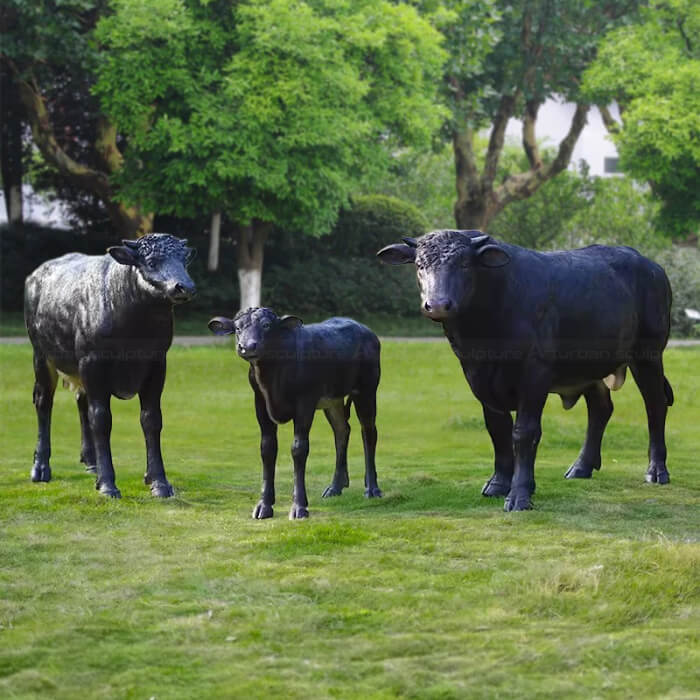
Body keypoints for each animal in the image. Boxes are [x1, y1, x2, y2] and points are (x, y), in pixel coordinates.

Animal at [24, 233, 196, 498]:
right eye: (151, 262)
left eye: (184, 260)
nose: (184, 287)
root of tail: (35, 276)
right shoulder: (93, 363)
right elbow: (101, 419)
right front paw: (107, 484)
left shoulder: (157, 365)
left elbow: (151, 419)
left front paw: (158, 481)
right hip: (42, 358)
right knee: (44, 403)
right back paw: (41, 468)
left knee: (81, 402)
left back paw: (91, 461)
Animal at [208, 307, 382, 519]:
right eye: (238, 328)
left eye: (267, 325)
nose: (247, 347)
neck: (273, 377)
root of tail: (365, 330)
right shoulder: (260, 402)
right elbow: (267, 448)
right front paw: (264, 505)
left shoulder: (305, 402)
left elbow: (299, 448)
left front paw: (299, 506)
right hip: (333, 399)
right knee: (342, 431)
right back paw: (335, 487)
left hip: (366, 390)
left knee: (368, 432)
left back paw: (372, 489)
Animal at [377, 229, 674, 511]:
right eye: (420, 265)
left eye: (464, 264)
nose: (438, 304)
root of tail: (652, 267)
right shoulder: (479, 378)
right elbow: (497, 430)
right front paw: (498, 484)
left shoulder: (534, 374)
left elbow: (524, 432)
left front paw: (519, 494)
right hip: (588, 367)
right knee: (601, 408)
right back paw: (581, 467)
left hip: (648, 355)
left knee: (655, 405)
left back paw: (656, 470)